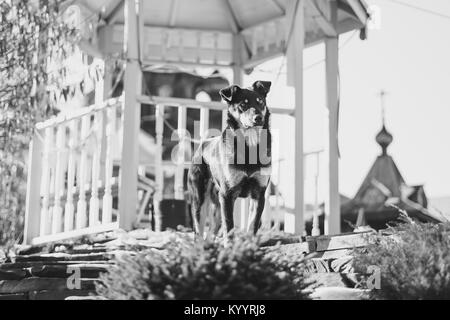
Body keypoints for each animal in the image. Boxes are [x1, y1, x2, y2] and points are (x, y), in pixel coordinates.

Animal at [186, 80, 270, 236]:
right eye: (243, 104)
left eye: (260, 102)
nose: (258, 118)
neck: (250, 144)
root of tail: (202, 145)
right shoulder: (227, 195)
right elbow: (229, 227)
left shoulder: (258, 193)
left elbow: (252, 226)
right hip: (200, 199)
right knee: (199, 231)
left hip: (217, 206)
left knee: (212, 232)